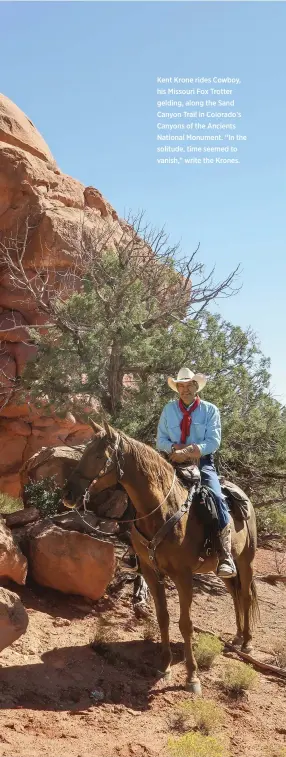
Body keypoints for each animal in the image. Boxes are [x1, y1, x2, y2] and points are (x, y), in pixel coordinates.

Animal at [63, 416, 260, 692]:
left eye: (100, 456)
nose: (68, 495)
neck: (163, 511)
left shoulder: (184, 576)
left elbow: (185, 624)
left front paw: (192, 676)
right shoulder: (150, 572)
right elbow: (163, 618)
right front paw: (165, 666)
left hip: (246, 560)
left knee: (245, 596)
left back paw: (248, 642)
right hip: (222, 567)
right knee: (234, 594)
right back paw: (238, 636)